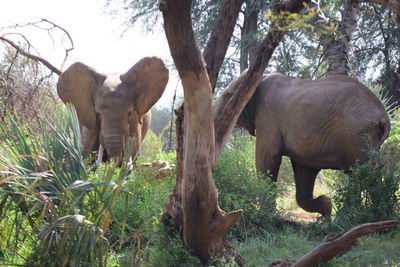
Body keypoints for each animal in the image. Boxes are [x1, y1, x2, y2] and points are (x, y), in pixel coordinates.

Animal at [220, 73, 390, 218]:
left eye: (226, 96)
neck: (261, 76)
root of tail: (383, 116)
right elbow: (304, 170)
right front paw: (326, 207)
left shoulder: (267, 115)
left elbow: (268, 158)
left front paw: (266, 214)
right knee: (365, 173)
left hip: (356, 135)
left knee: (362, 173)